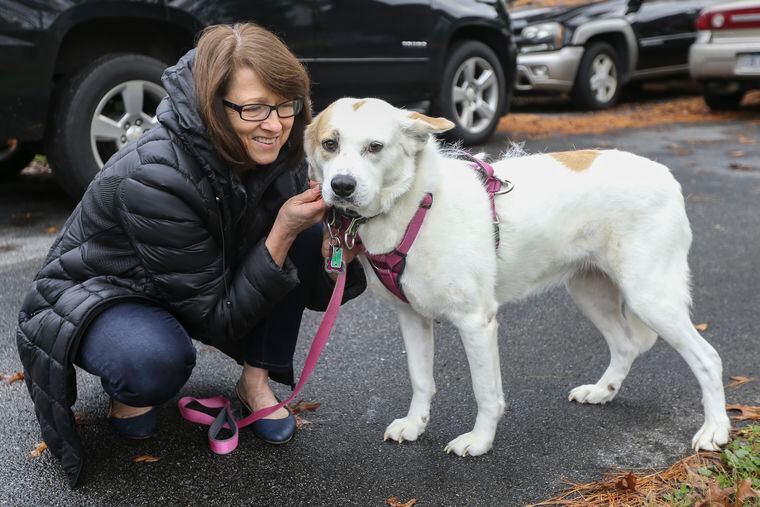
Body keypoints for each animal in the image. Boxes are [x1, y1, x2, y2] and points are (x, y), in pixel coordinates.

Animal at [302, 97, 732, 458]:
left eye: (375, 147)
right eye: (329, 144)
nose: (341, 186)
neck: (414, 203)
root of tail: (665, 174)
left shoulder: (476, 322)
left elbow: (485, 391)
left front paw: (480, 441)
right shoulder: (411, 318)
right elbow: (421, 380)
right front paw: (415, 425)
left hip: (649, 295)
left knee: (708, 358)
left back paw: (715, 430)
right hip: (589, 290)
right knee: (625, 345)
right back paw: (603, 391)